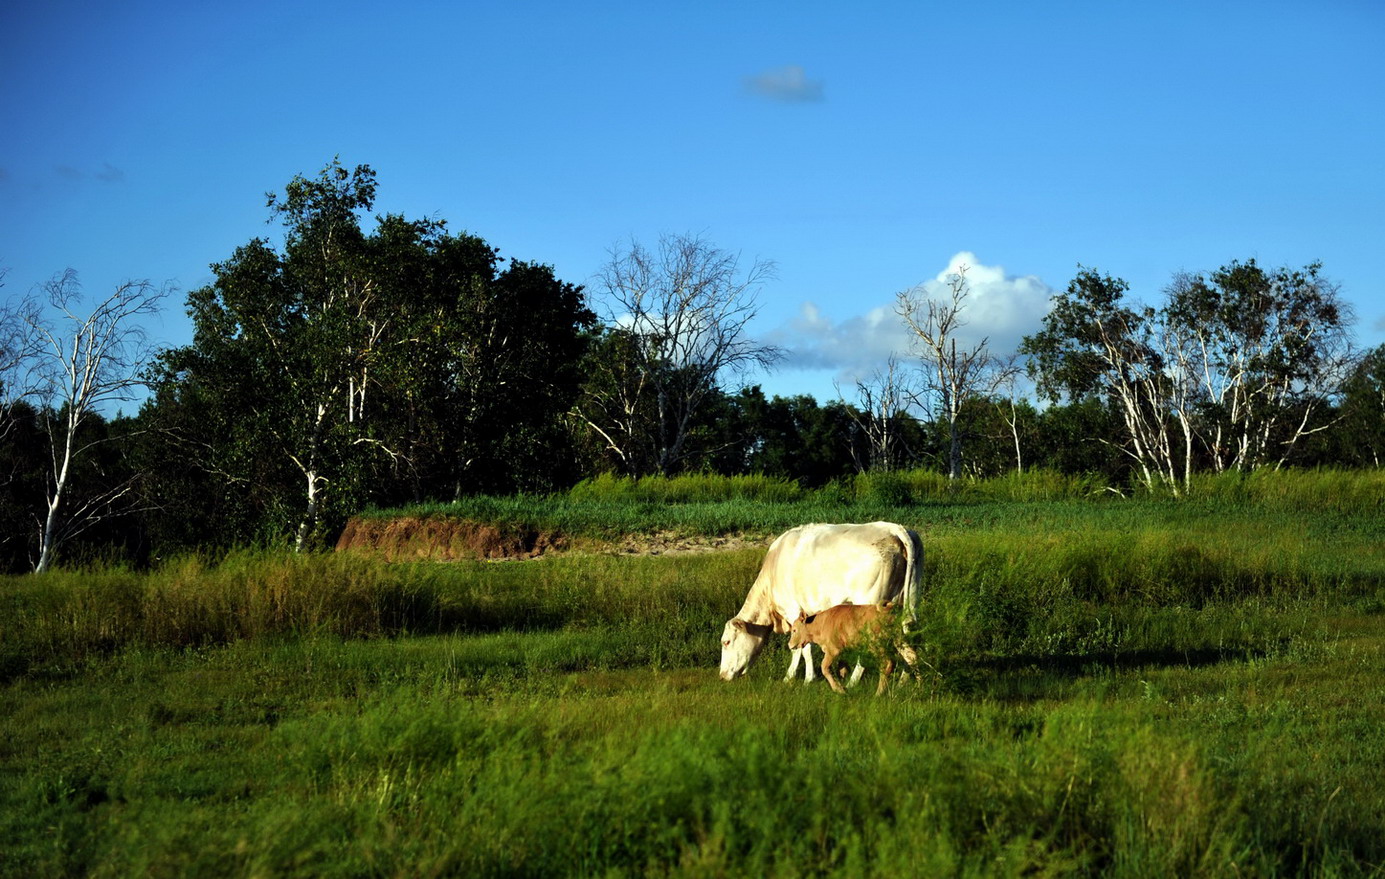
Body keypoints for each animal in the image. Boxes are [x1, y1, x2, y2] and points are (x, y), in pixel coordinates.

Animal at [720, 526, 925, 683]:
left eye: (726, 642)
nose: (721, 675)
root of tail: (894, 529)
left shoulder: (793, 610)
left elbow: (801, 649)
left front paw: (801, 679)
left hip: (869, 602)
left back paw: (852, 683)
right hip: (907, 602)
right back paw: (905, 681)